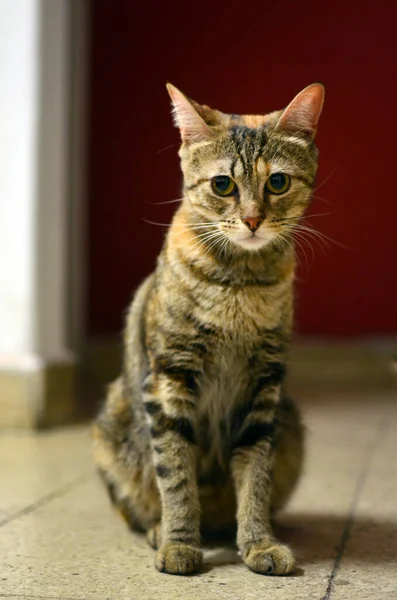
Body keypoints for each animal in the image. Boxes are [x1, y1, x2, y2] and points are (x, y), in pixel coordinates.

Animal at [91, 82, 324, 576]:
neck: (239, 285)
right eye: (223, 185)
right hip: (111, 425)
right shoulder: (169, 378)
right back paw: (159, 529)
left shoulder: (263, 390)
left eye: (278, 182)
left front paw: (258, 542)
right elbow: (176, 474)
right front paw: (179, 542)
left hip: (291, 422)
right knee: (139, 504)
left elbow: (256, 476)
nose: (253, 219)